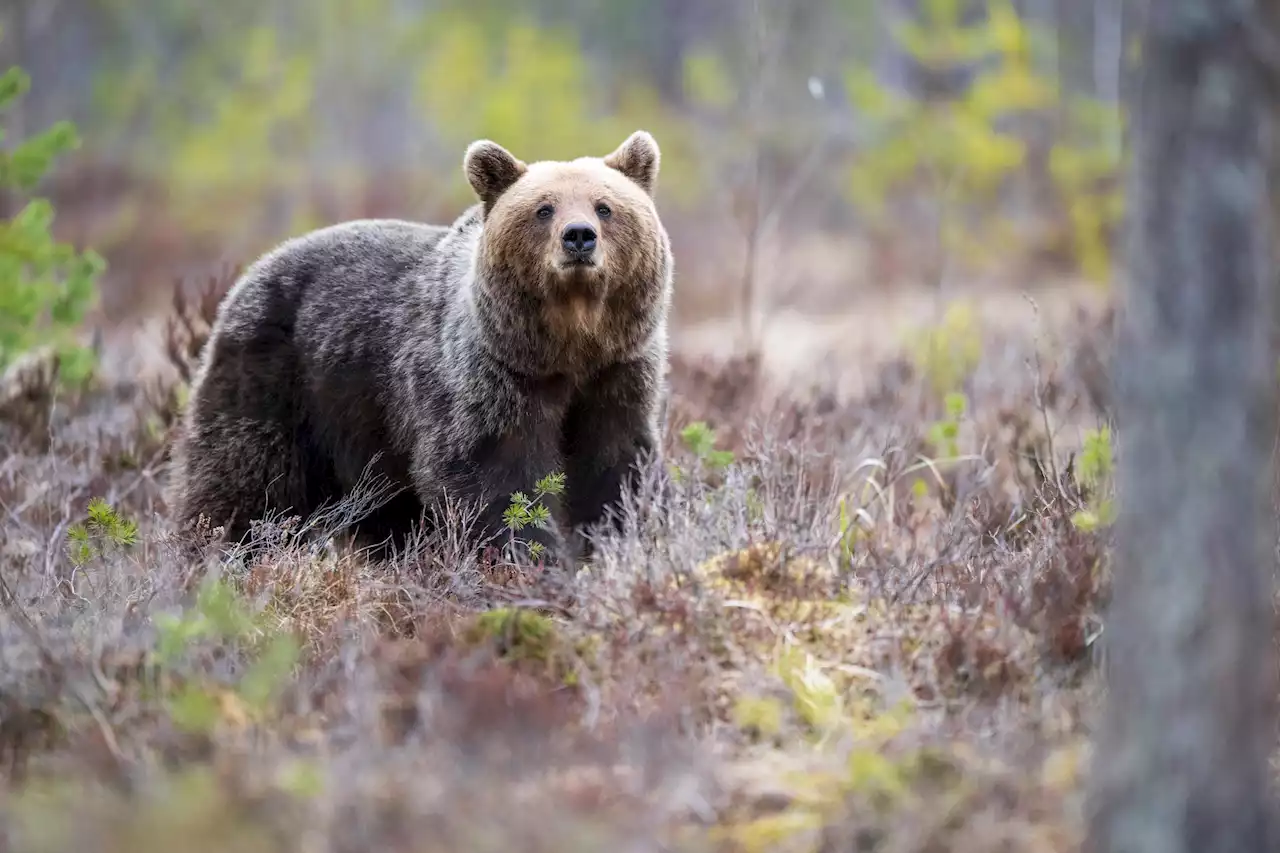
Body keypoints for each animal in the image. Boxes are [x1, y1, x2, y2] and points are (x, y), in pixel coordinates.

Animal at [167, 131, 680, 558]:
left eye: (604, 206)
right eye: (544, 209)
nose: (579, 237)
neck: (569, 347)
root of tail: (254, 269)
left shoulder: (618, 375)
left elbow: (615, 470)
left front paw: (617, 540)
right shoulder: (489, 382)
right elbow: (494, 477)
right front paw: (528, 554)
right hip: (277, 378)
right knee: (248, 483)